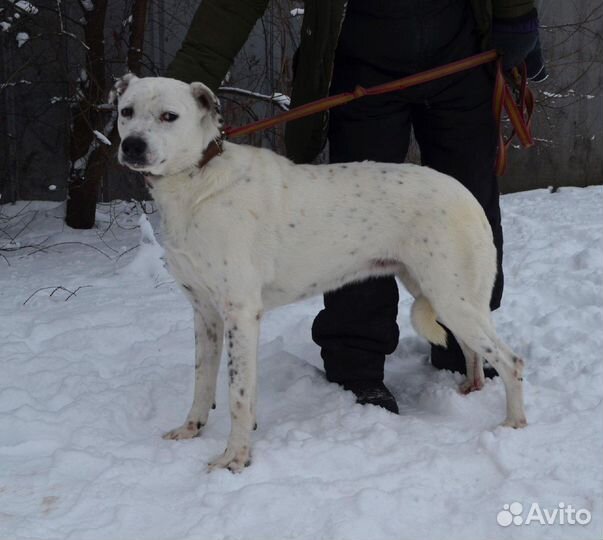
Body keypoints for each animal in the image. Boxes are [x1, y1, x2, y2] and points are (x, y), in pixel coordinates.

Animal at [111, 75, 528, 472]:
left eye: (169, 116)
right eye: (126, 111)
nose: (132, 146)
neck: (195, 181)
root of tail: (465, 193)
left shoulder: (240, 314)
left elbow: (239, 396)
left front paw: (236, 457)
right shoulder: (205, 314)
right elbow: (202, 382)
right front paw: (191, 429)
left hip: (451, 295)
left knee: (511, 361)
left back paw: (514, 423)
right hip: (441, 294)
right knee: (473, 350)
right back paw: (472, 388)